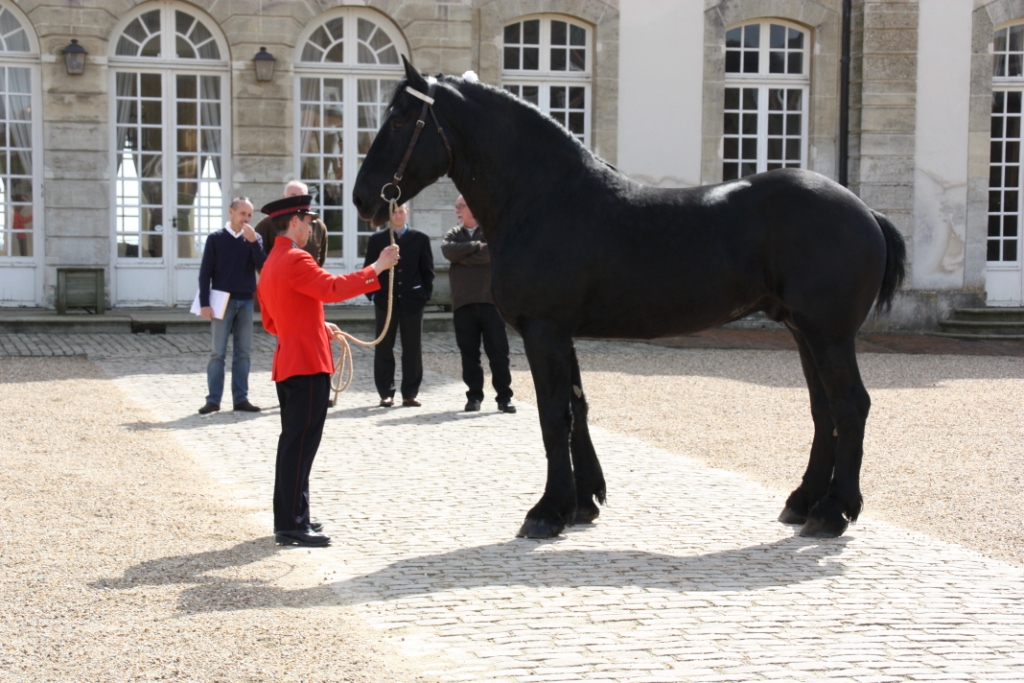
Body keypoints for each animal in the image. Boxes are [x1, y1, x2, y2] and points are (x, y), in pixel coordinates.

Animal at [352, 58, 905, 540]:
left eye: (400, 118)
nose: (362, 198)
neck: (543, 198)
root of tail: (865, 210)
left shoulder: (543, 330)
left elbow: (553, 416)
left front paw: (546, 512)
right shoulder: (561, 333)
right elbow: (577, 408)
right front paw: (582, 503)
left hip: (827, 334)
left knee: (850, 405)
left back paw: (833, 512)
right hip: (802, 331)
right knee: (823, 409)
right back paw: (804, 502)